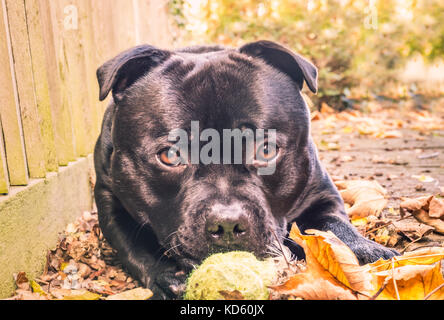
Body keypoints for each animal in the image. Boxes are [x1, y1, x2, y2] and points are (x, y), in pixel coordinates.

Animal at [94, 40, 398, 300]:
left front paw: (368, 252)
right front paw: (167, 278)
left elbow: (333, 228)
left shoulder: (320, 193)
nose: (227, 223)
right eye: (170, 155)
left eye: (266, 150)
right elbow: (134, 247)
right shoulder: (110, 199)